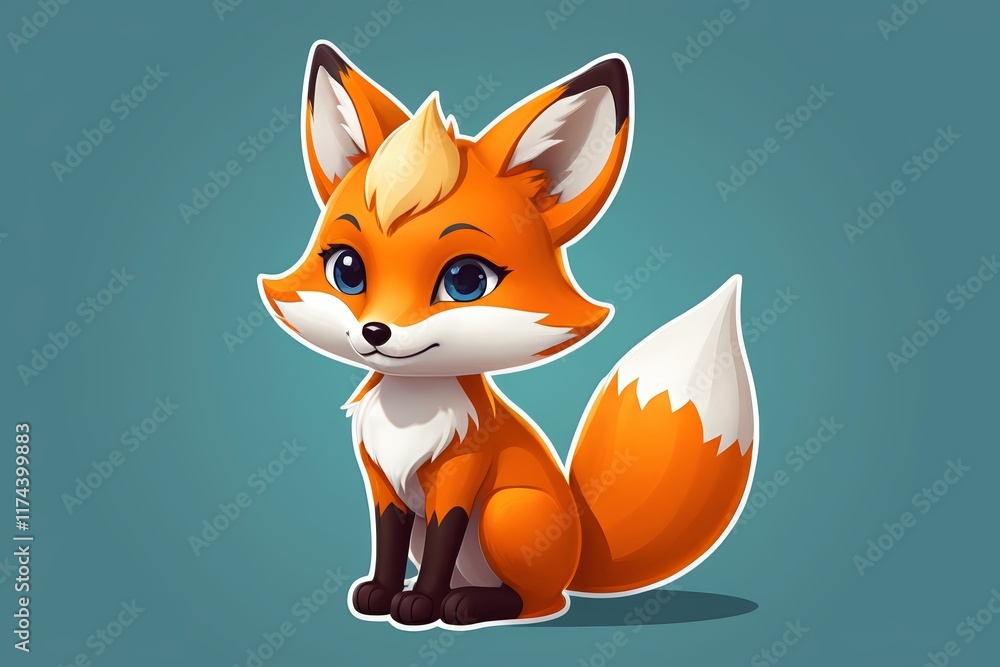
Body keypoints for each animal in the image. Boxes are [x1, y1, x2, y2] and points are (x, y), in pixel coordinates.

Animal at [258, 41, 758, 630]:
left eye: (466, 280)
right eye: (347, 270)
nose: (375, 331)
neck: (411, 414)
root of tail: (580, 554)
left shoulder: (461, 473)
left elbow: (443, 540)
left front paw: (419, 604)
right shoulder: (382, 482)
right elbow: (388, 541)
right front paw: (380, 594)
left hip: (506, 511)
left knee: (538, 601)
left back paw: (470, 605)